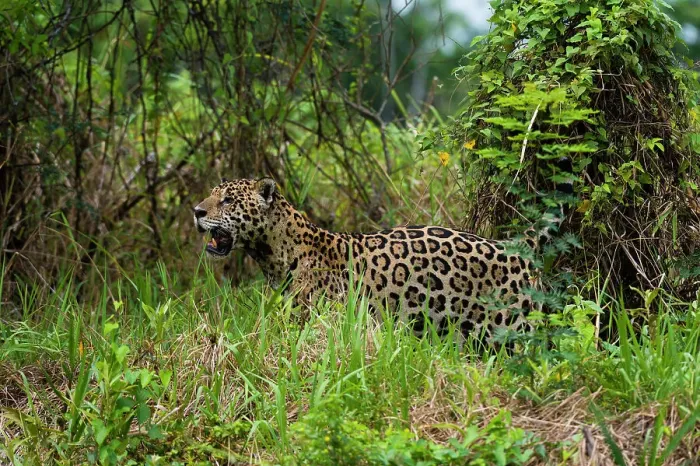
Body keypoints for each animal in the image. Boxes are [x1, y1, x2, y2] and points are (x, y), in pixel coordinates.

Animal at [193, 178, 558, 344]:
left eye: (227, 201)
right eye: (210, 195)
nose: (196, 211)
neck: (272, 253)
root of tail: (519, 246)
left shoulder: (324, 321)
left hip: (515, 329)